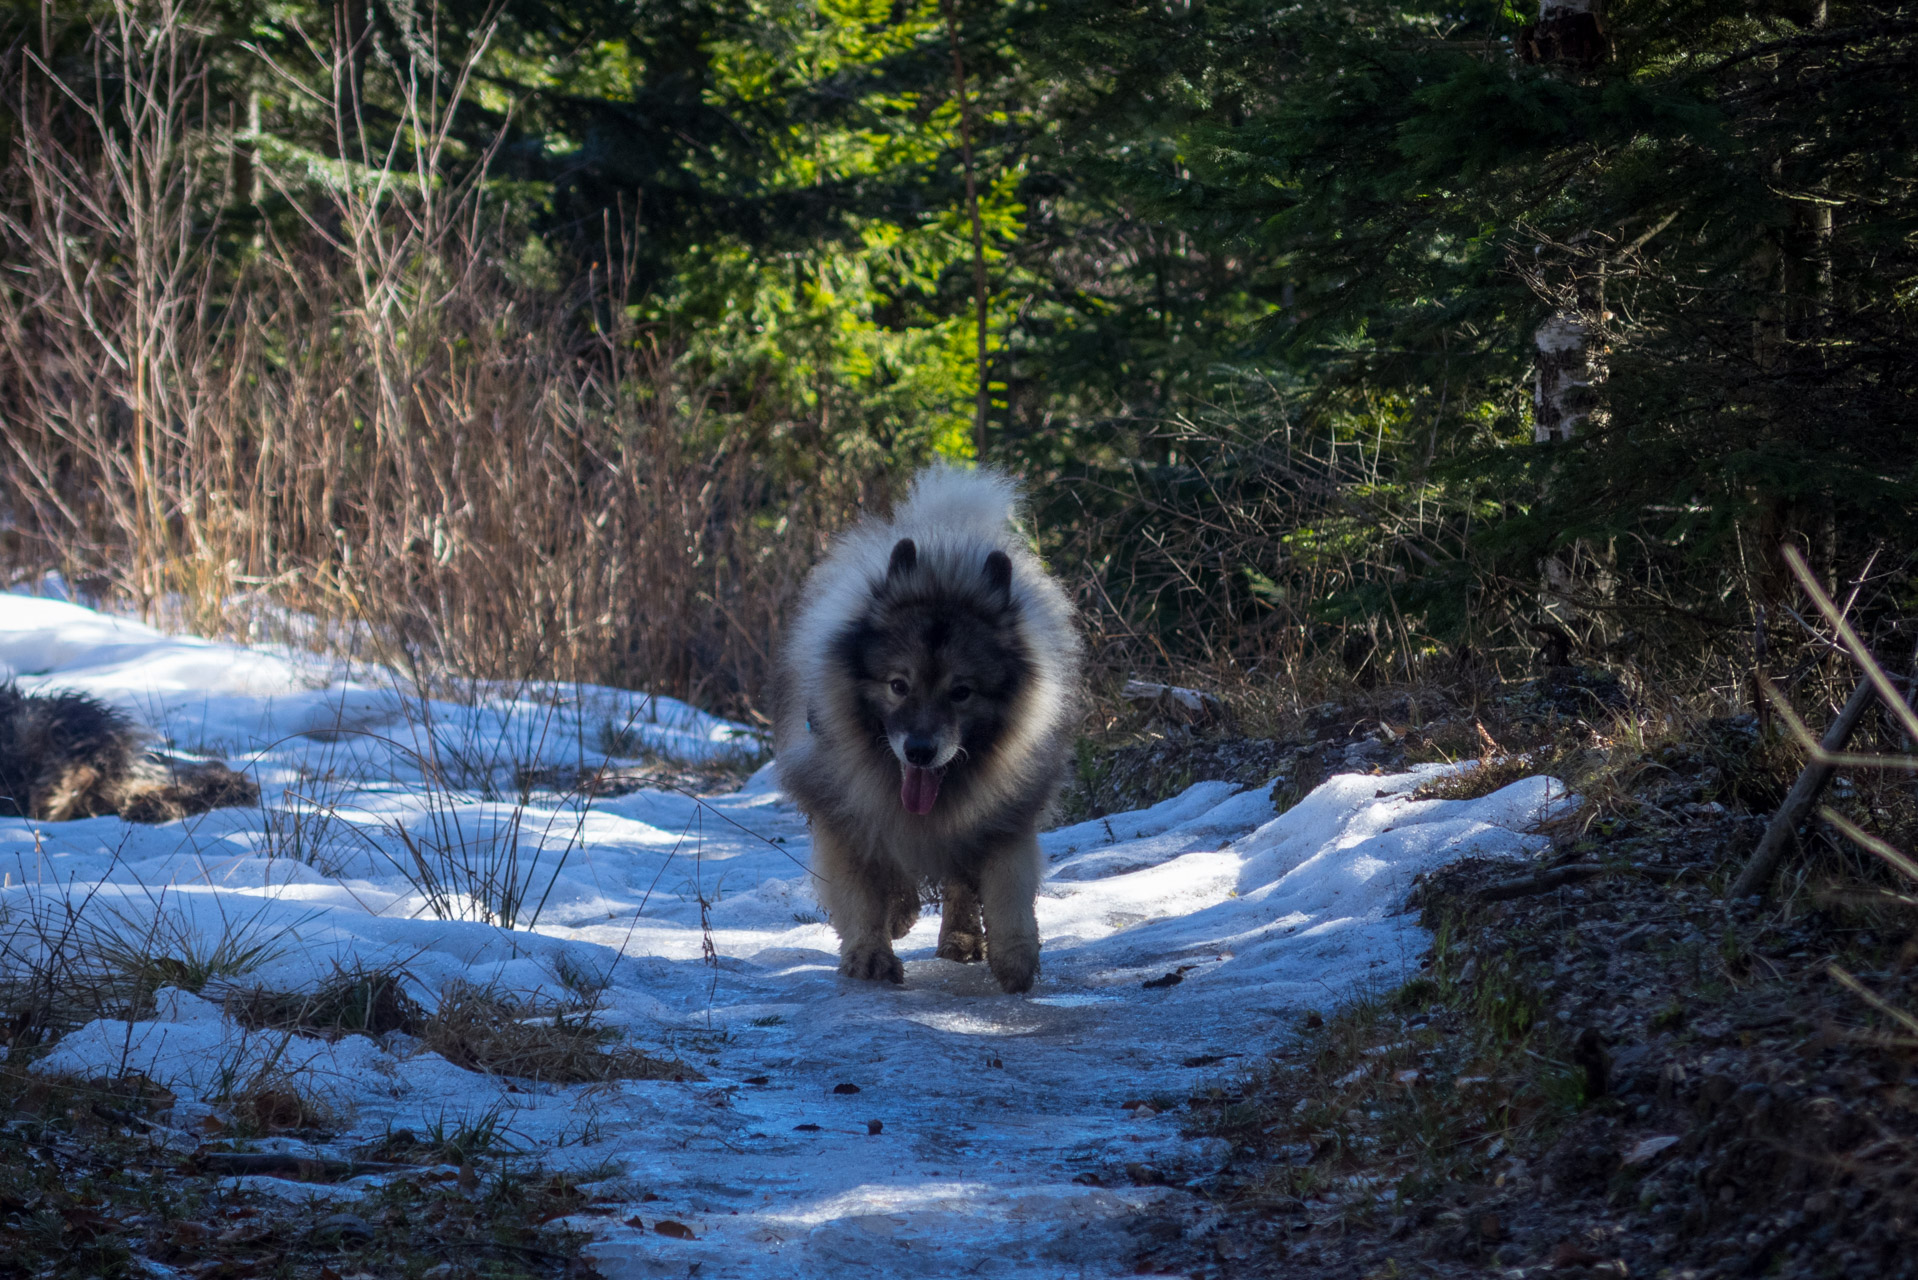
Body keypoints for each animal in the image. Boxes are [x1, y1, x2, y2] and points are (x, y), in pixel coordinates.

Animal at [774, 466, 1081, 997]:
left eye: (962, 692)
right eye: (899, 685)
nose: (919, 751)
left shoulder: (1005, 816)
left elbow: (1008, 889)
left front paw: (1016, 959)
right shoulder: (846, 813)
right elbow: (862, 894)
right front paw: (870, 955)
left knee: (960, 886)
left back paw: (960, 939)